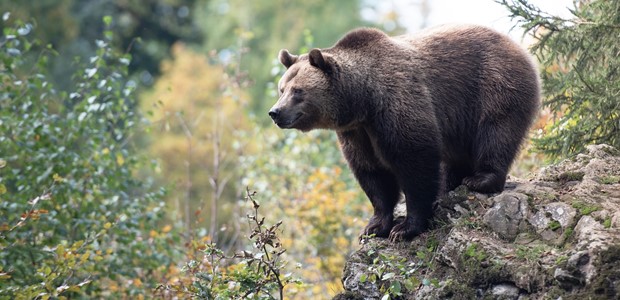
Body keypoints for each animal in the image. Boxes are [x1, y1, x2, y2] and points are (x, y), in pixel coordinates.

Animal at [268, 25, 540, 241]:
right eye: (282, 88)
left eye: (298, 91)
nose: (275, 112)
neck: (363, 101)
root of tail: (518, 45)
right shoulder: (357, 132)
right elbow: (372, 173)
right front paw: (374, 226)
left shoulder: (397, 103)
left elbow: (414, 161)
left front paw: (405, 228)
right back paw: (450, 183)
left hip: (493, 84)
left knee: (496, 132)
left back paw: (481, 179)